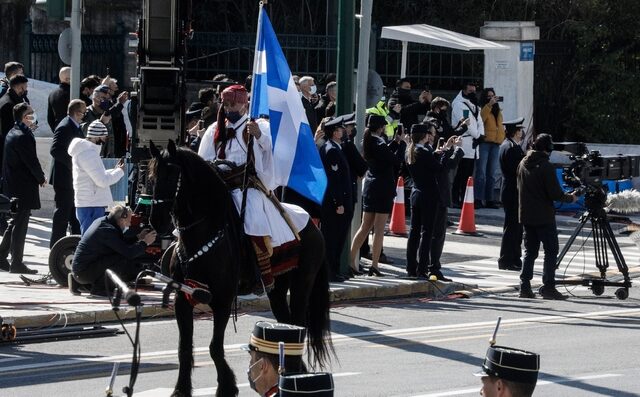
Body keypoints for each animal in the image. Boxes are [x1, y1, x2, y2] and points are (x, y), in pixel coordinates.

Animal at [147, 141, 332, 394]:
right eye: (152, 176)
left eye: (172, 174)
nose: (156, 221)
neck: (202, 234)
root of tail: (313, 225)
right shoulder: (182, 299)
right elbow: (184, 347)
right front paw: (181, 389)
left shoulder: (222, 300)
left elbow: (215, 346)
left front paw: (227, 385)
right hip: (277, 289)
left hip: (303, 283)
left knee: (297, 324)